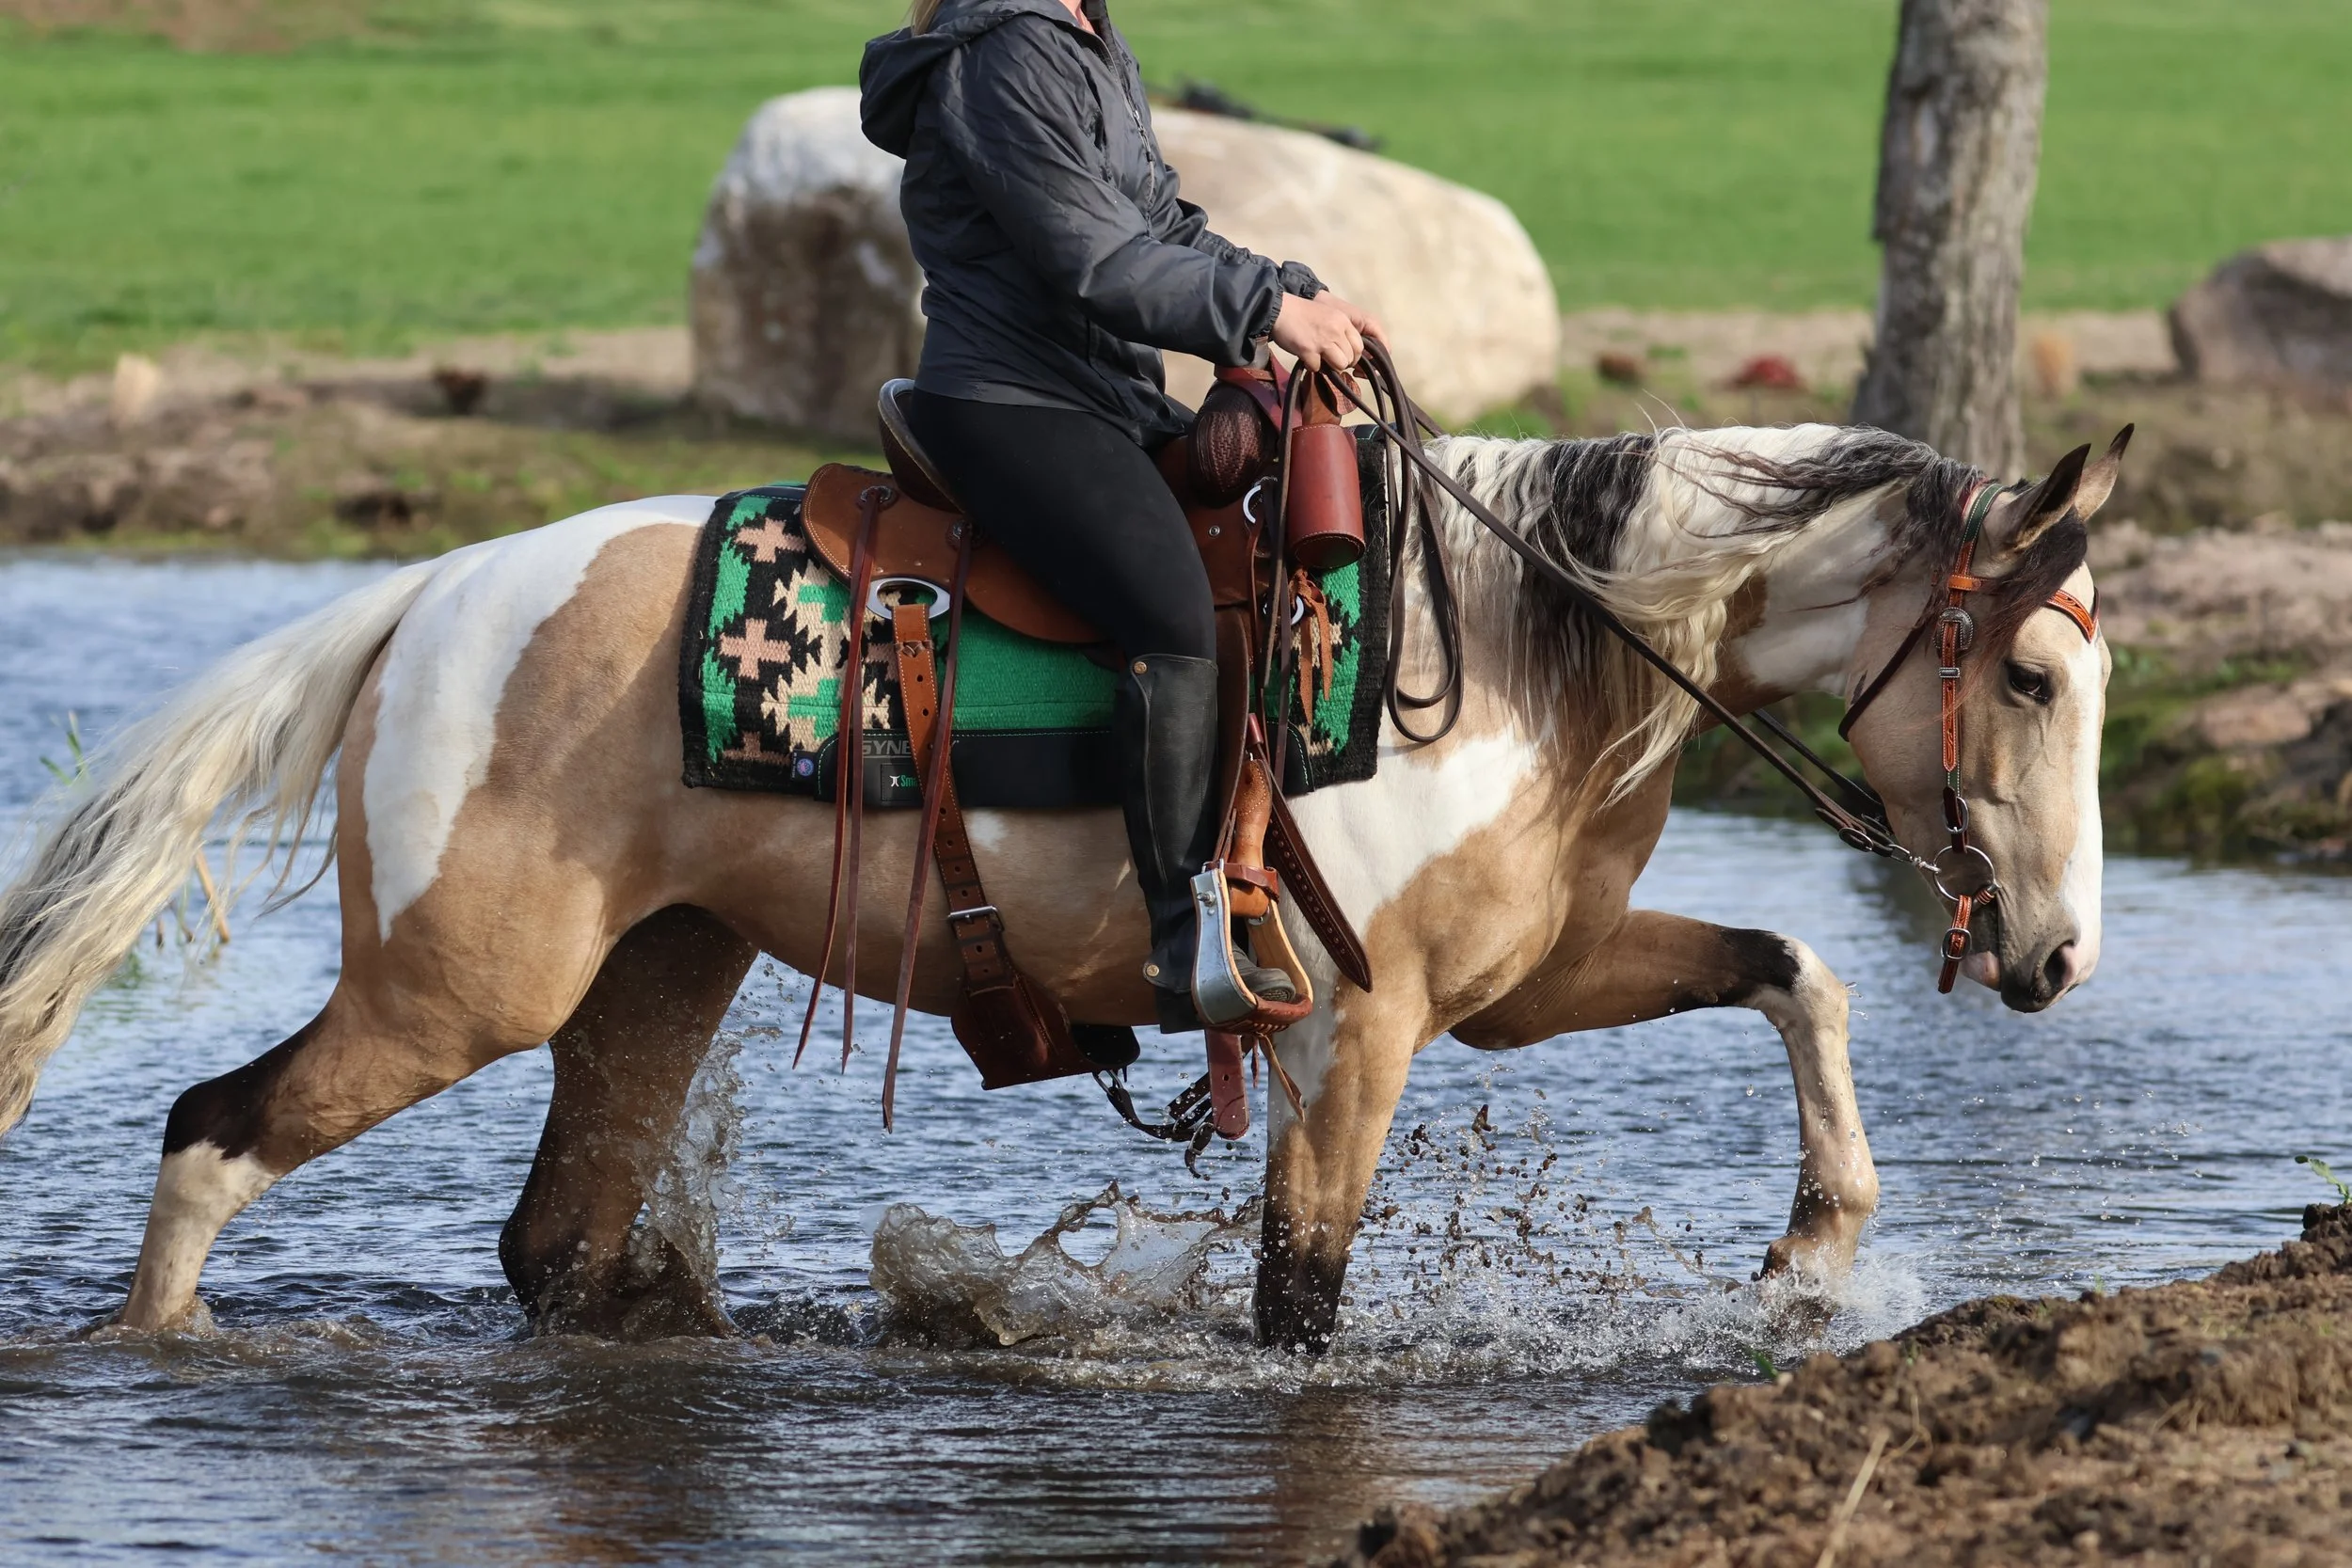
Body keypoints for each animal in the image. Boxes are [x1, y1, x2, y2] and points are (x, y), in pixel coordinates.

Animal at [0, 418, 2120, 1349]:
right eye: (2027, 674)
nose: (2054, 954)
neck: (1506, 649)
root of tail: (434, 593)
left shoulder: (1529, 979)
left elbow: (1792, 965)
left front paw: (1816, 1242)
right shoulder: (1353, 1030)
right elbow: (1297, 1293)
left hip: (650, 976)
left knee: (552, 1247)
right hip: (456, 989)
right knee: (209, 1134)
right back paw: (161, 1347)